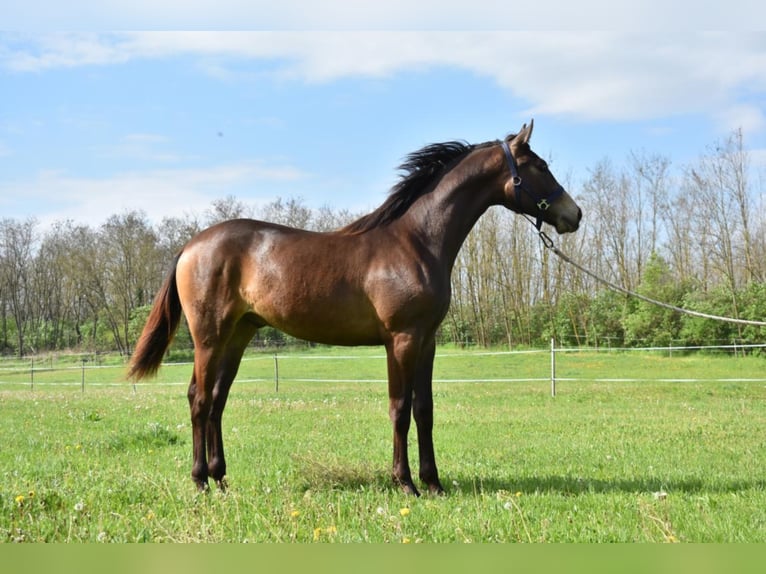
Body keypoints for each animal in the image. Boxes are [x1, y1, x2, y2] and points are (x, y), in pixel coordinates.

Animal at [127, 119, 584, 498]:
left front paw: (434, 483)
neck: (415, 241)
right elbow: (400, 410)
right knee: (200, 399)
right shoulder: (401, 340)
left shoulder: (427, 341)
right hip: (209, 337)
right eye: (540, 165)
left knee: (217, 400)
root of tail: (191, 246)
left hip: (238, 335)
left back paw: (221, 479)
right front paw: (406, 484)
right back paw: (201, 481)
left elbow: (424, 409)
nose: (574, 214)